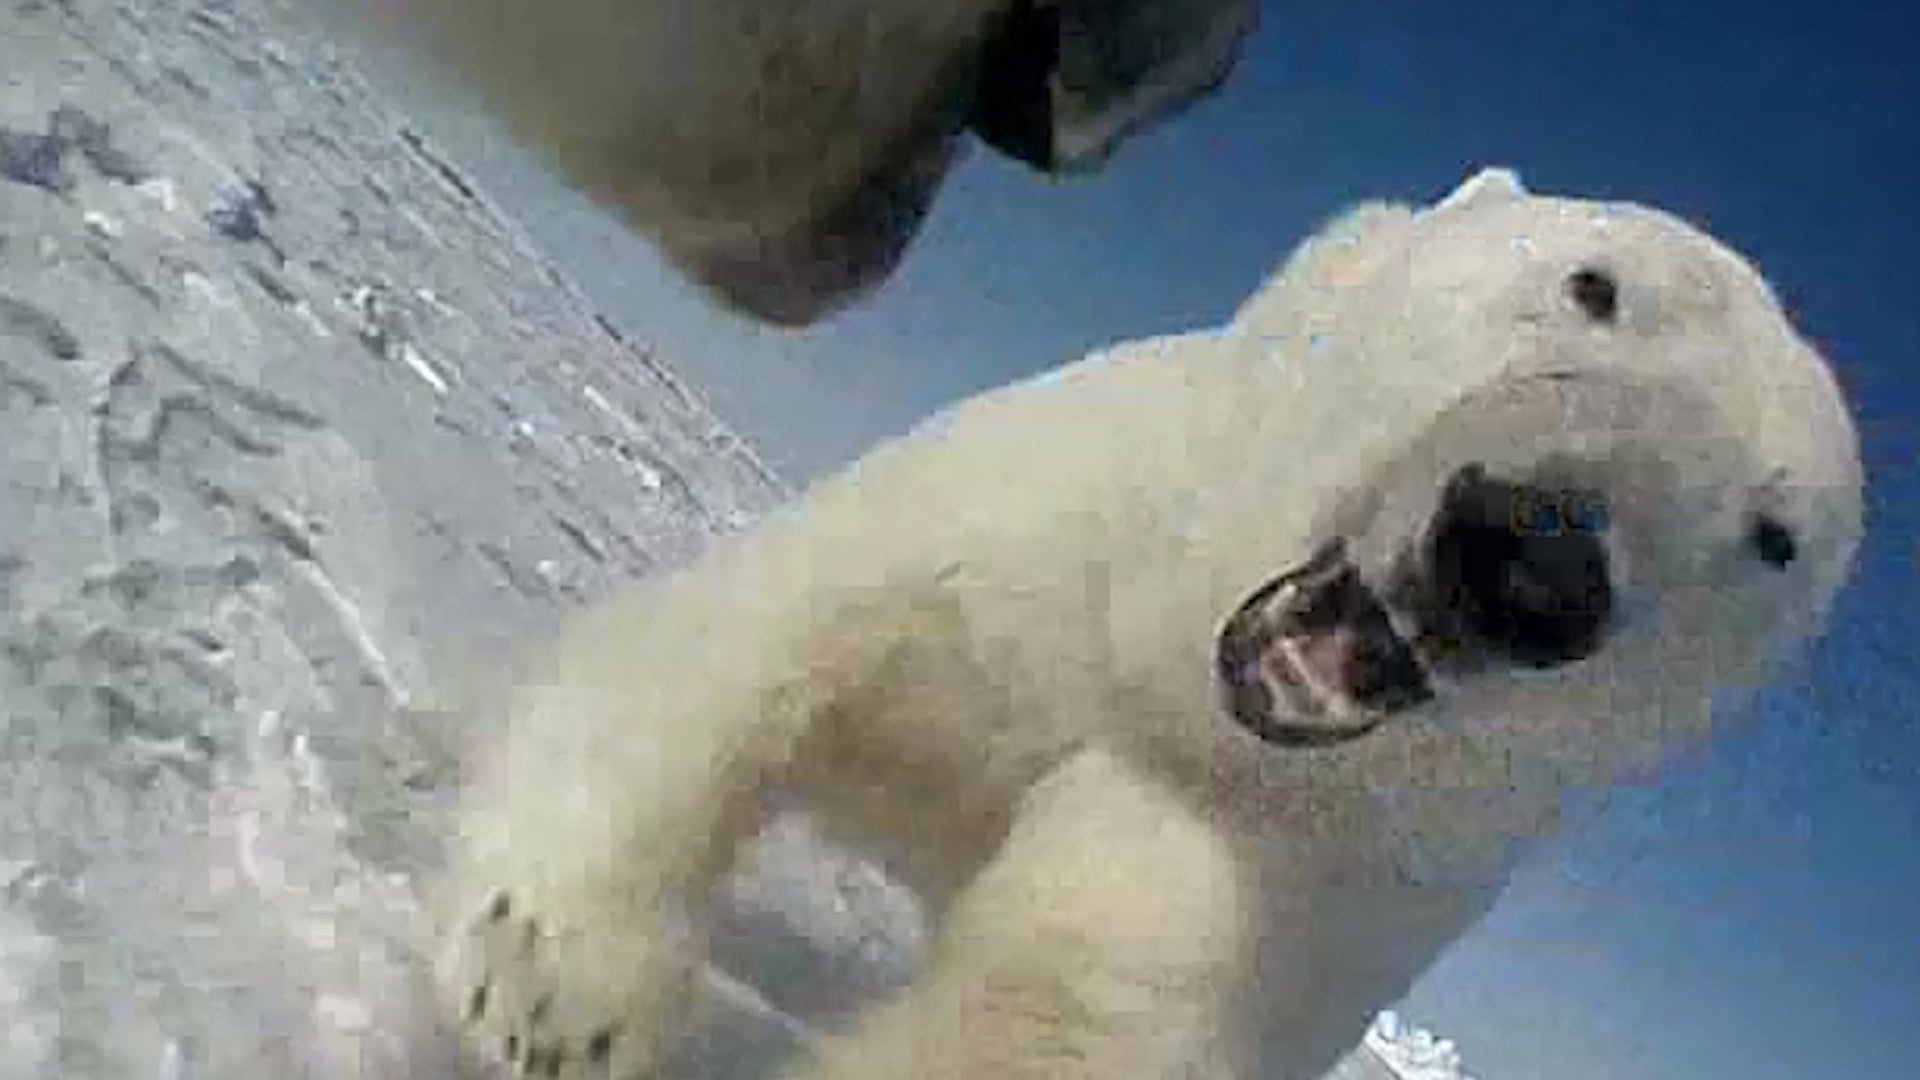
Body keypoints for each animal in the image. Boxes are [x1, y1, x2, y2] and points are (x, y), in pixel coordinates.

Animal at [428, 166, 1864, 1080]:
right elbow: (767, 646)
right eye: (1595, 284)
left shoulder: (1290, 865)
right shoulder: (1042, 528)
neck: (1160, 660)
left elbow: (1067, 1022)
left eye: (1776, 536)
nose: (1532, 560)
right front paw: (554, 992)